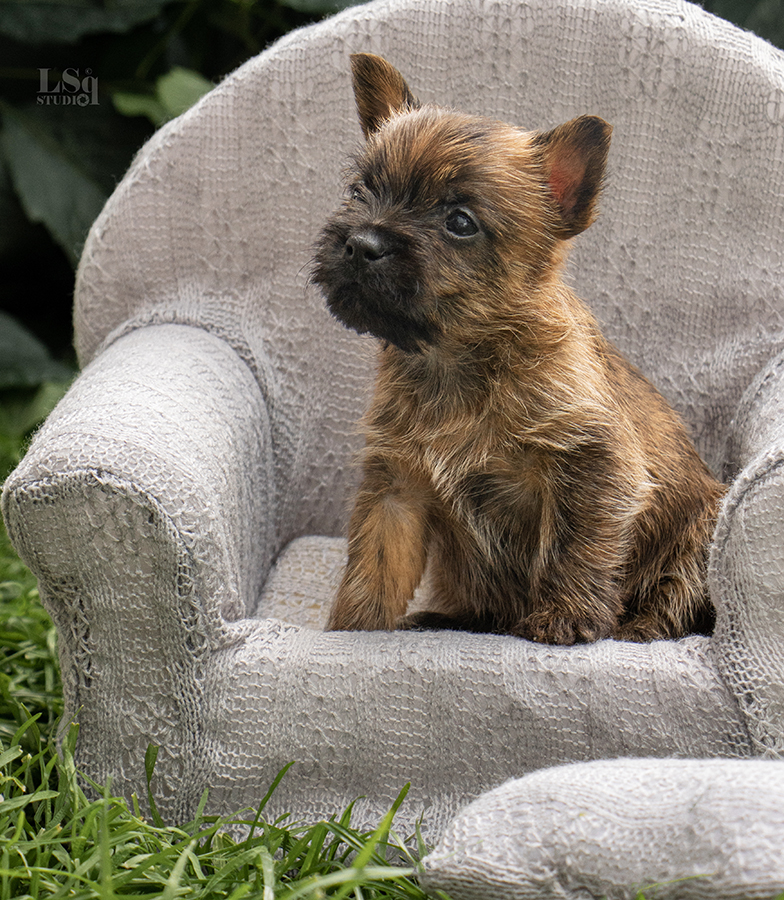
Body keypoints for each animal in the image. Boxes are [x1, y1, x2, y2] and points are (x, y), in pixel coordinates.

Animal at [310, 52, 724, 644]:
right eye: (360, 190)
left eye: (460, 221)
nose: (361, 243)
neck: (456, 361)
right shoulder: (397, 487)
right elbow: (375, 564)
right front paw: (353, 632)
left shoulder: (592, 462)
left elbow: (574, 544)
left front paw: (565, 618)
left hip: (701, 532)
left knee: (676, 598)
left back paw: (637, 628)